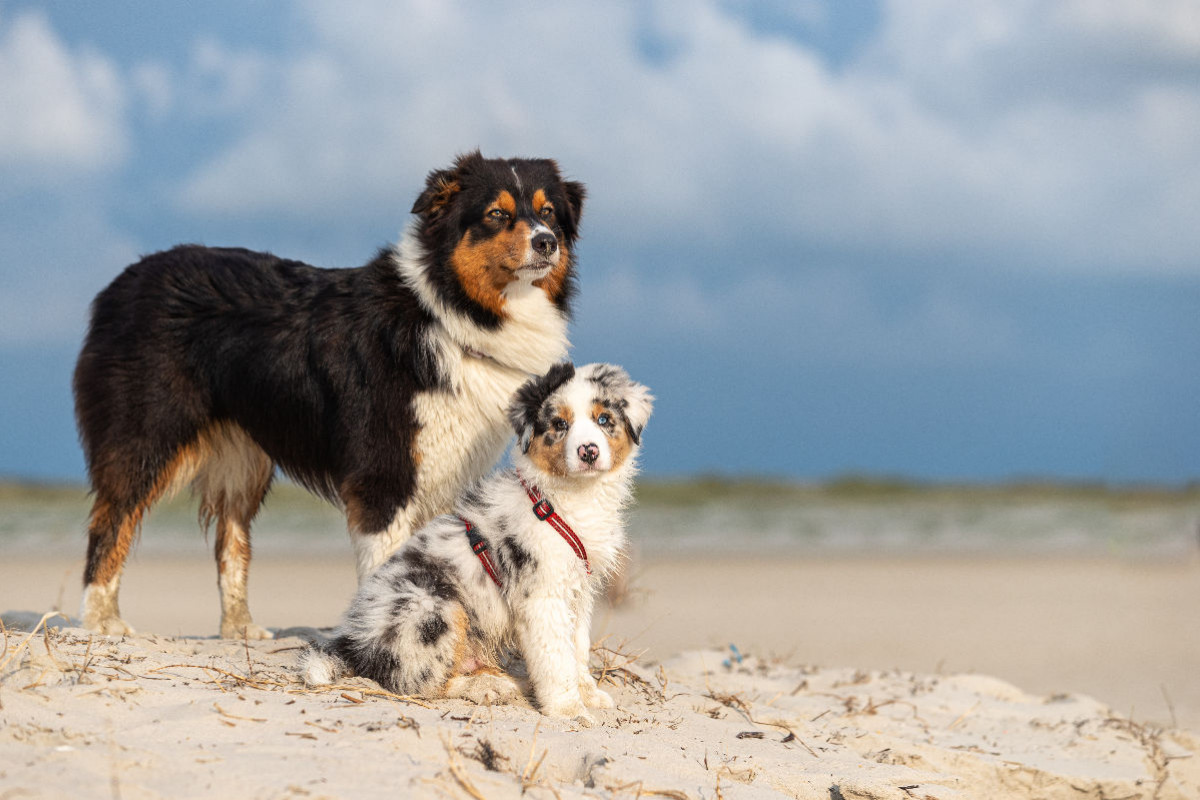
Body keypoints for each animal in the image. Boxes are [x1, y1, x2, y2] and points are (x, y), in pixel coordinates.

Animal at [70, 151, 585, 638]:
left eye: (548, 213)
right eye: (497, 214)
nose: (547, 242)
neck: (449, 314)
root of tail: (122, 282)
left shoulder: (443, 474)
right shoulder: (383, 477)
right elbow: (384, 566)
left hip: (244, 459)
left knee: (230, 542)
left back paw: (240, 629)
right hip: (147, 434)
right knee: (110, 522)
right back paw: (102, 622)